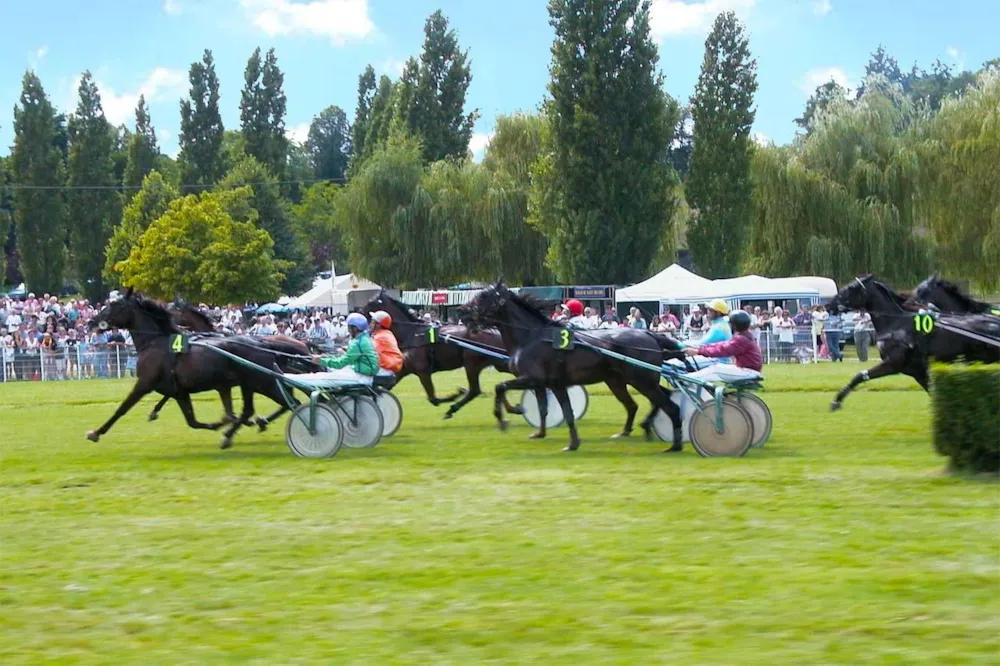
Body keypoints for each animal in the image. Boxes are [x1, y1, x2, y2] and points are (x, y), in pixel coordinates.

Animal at [88, 288, 318, 448]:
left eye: (113, 305)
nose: (91, 322)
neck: (156, 343)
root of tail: (263, 343)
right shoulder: (181, 390)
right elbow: (193, 420)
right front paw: (221, 423)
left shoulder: (144, 384)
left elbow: (122, 408)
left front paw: (96, 432)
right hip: (254, 383)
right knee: (267, 406)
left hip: (263, 382)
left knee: (290, 402)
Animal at [358, 290, 524, 416]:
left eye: (370, 302)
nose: (358, 313)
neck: (413, 333)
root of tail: (496, 331)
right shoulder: (404, 369)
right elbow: (386, 387)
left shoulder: (423, 371)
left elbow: (433, 399)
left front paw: (455, 394)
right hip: (495, 364)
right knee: (500, 384)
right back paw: (512, 408)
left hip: (471, 364)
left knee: (476, 390)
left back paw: (454, 408)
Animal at [462, 280, 688, 452]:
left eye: (483, 297)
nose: (464, 315)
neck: (532, 337)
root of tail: (650, 335)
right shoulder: (547, 383)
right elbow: (552, 410)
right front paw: (547, 435)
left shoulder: (533, 379)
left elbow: (500, 387)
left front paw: (508, 414)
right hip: (620, 381)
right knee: (641, 403)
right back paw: (638, 428)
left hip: (642, 380)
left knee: (669, 405)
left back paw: (674, 444)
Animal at [824, 274, 996, 410]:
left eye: (850, 288)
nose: (827, 305)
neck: (896, 324)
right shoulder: (915, 370)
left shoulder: (893, 363)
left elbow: (859, 376)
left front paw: (836, 402)